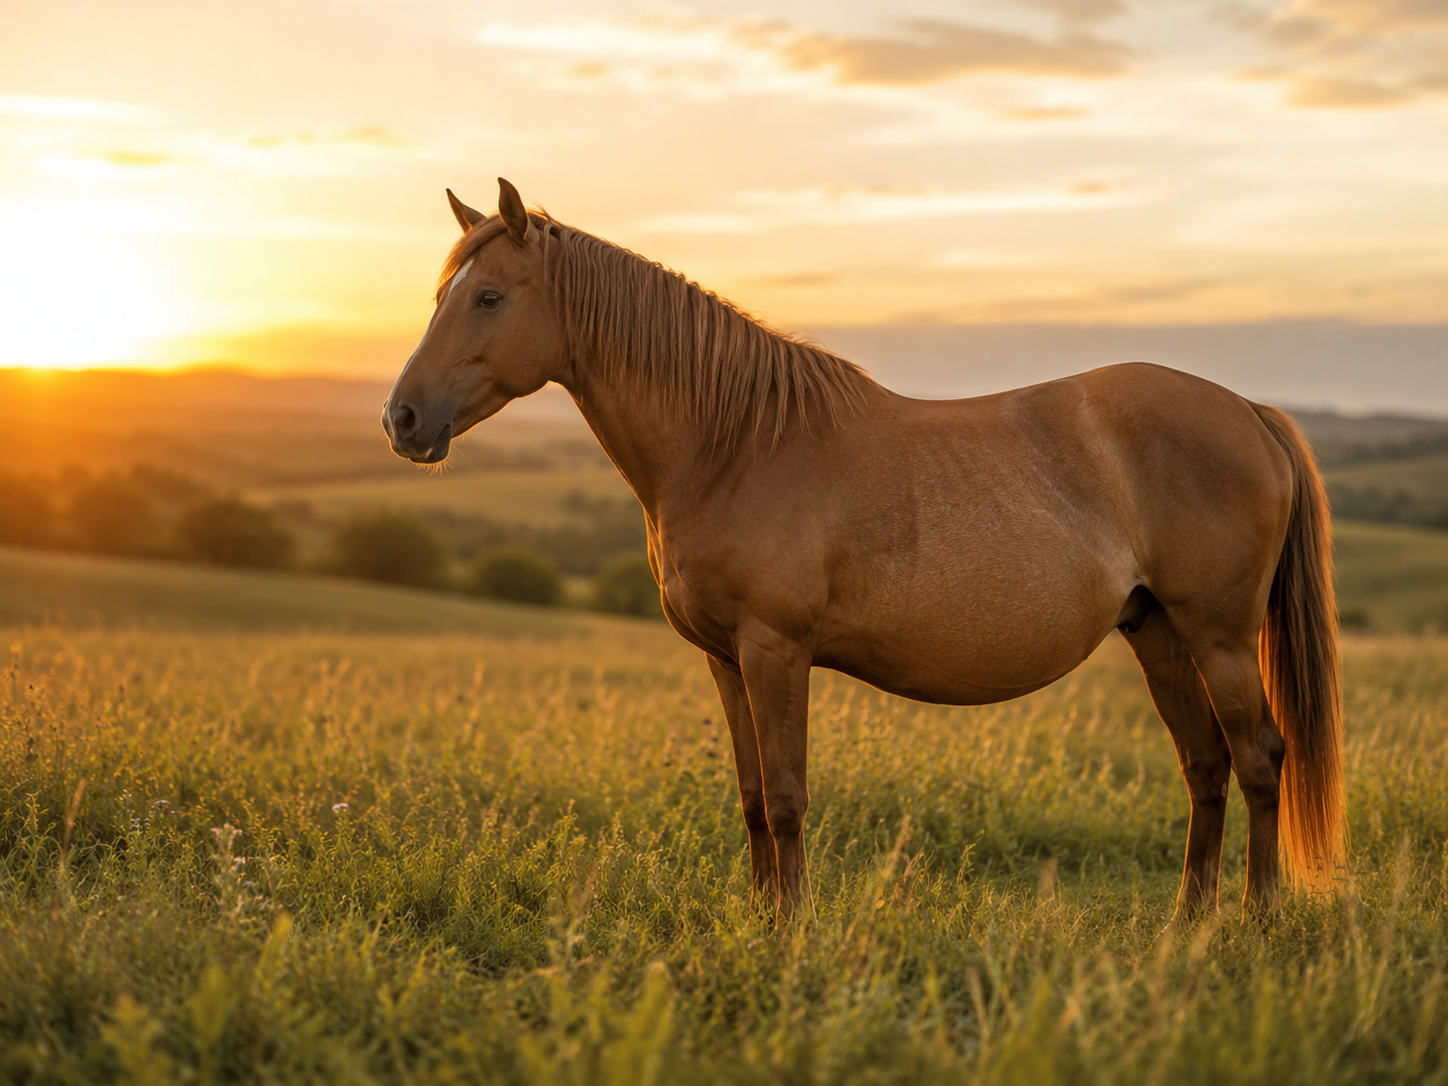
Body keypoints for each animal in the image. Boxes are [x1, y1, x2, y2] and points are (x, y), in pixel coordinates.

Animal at [383, 178, 1345, 921]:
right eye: (442, 295)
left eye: (489, 297)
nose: (402, 419)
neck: (735, 443)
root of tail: (1248, 411)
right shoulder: (725, 660)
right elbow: (751, 800)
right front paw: (760, 921)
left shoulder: (775, 651)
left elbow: (787, 797)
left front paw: (792, 932)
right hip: (1159, 634)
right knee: (1206, 767)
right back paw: (1187, 926)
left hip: (1219, 636)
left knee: (1260, 761)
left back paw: (1256, 923)